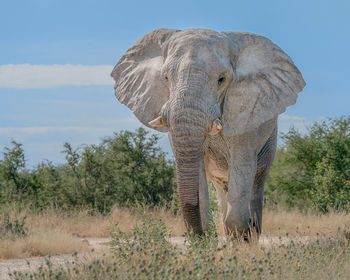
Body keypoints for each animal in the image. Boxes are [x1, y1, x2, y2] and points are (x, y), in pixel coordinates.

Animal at [110, 28, 304, 237]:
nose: (199, 235)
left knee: (256, 182)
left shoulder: (245, 113)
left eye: (221, 80)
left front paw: (242, 238)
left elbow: (242, 168)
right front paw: (205, 236)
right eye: (166, 78)